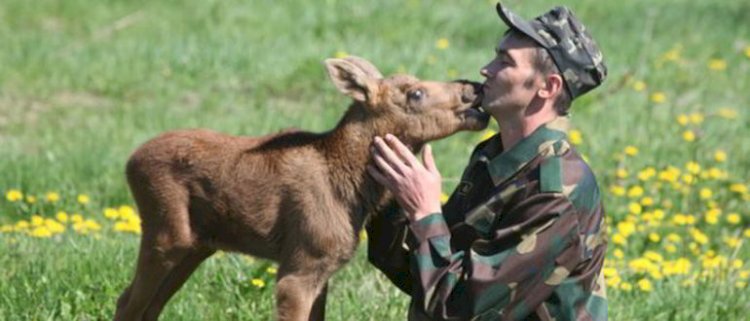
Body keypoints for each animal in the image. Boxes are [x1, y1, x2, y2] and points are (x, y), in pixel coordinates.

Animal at [111, 56, 488, 318]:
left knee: (147, 305)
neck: (352, 188)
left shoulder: (321, 271)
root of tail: (130, 161)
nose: (474, 87)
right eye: (416, 93)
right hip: (166, 234)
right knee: (128, 302)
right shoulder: (301, 264)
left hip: (197, 246)